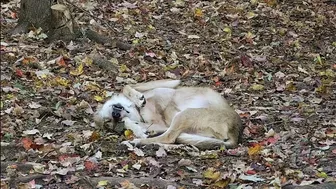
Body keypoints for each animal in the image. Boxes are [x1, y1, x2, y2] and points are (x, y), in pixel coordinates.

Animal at [93, 79, 243, 149]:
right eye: (110, 121)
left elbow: (127, 86)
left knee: (169, 137)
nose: (115, 115)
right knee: (169, 138)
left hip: (185, 115)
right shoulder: (161, 124)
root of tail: (235, 133)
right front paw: (137, 129)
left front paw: (138, 97)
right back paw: (138, 141)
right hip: (186, 117)